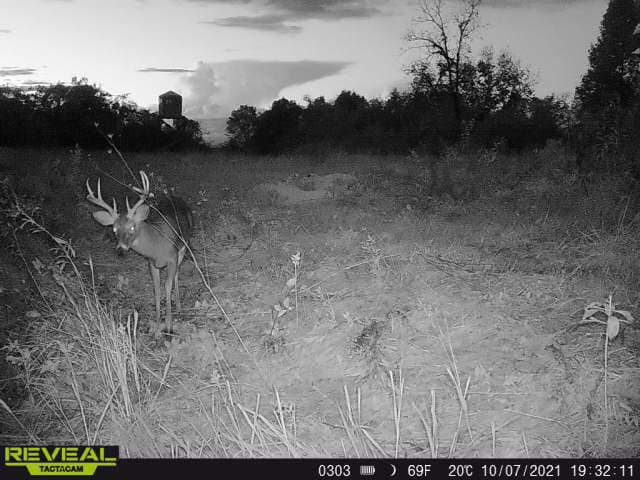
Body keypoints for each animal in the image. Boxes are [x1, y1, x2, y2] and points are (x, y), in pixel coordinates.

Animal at [86, 171, 193, 334]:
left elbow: (167, 285)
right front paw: (157, 326)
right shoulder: (151, 263)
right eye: (114, 229)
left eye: (132, 227)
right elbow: (156, 289)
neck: (157, 244)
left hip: (184, 245)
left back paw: (179, 307)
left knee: (176, 275)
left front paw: (169, 326)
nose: (121, 249)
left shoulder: (172, 258)